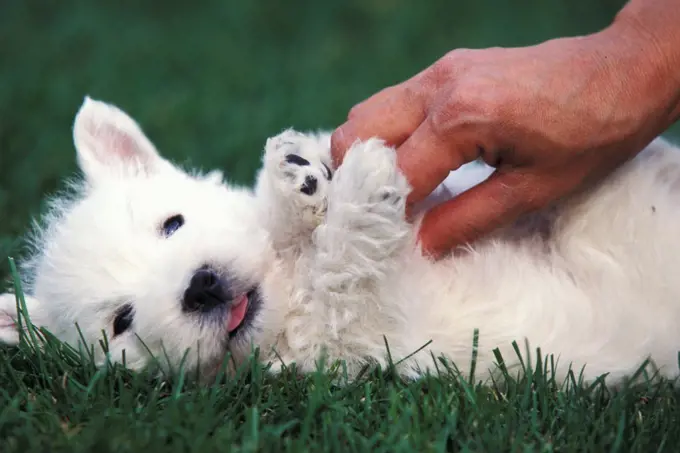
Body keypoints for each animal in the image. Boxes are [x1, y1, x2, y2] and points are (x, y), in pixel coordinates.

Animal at [1, 97, 680, 386]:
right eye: (121, 322)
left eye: (172, 224)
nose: (201, 286)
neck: (286, 291)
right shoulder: (365, 334)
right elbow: (346, 271)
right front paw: (361, 185)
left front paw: (297, 175)